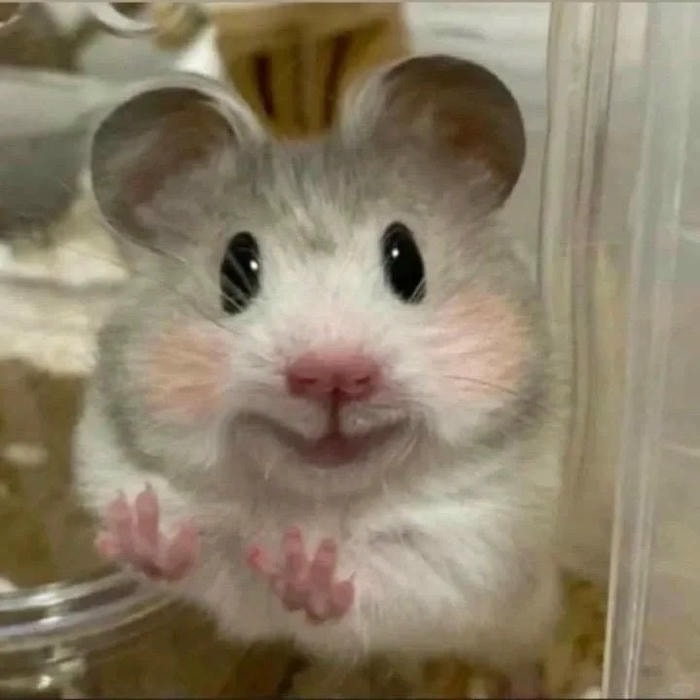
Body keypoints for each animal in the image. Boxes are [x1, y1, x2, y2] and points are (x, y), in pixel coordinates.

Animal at [73, 57, 566, 695]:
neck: (319, 499)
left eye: (407, 260)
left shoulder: (472, 547)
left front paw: (305, 569)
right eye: (236, 269)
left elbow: (377, 575)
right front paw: (141, 528)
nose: (332, 374)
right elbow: (210, 557)